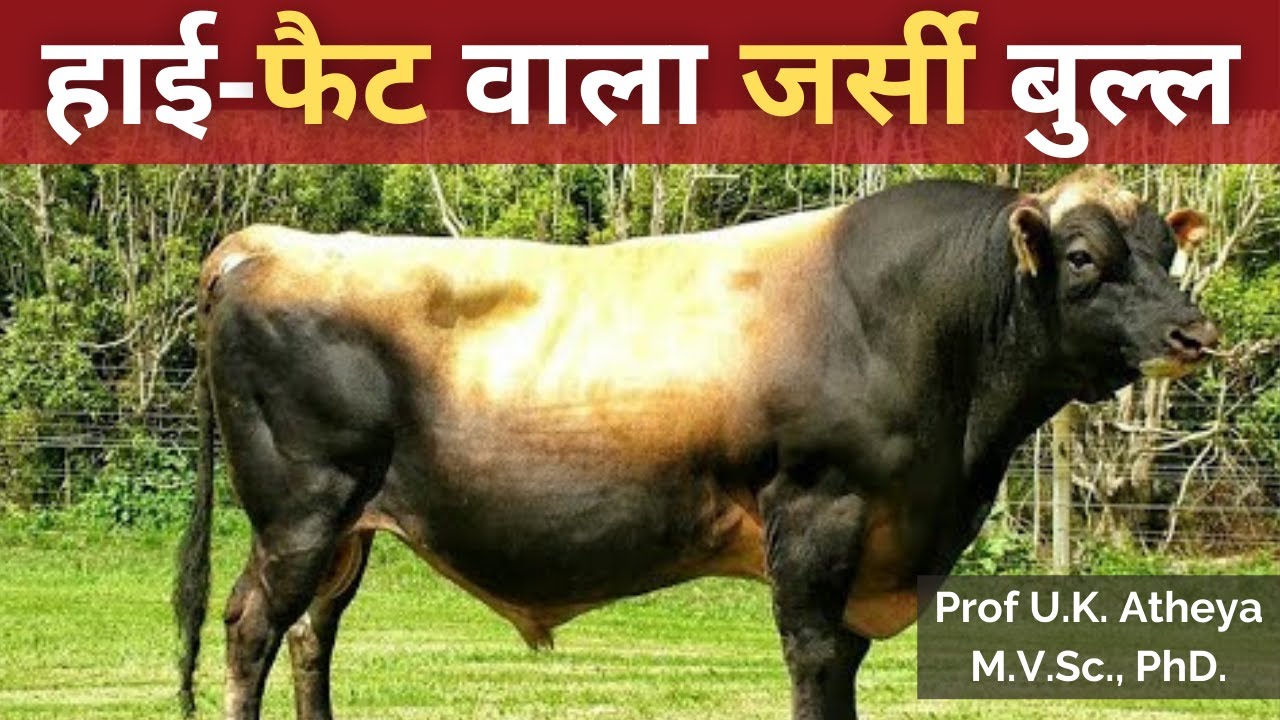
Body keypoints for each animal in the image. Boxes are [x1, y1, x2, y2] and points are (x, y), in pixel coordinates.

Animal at [174, 169, 1218, 720]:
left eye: (1168, 252)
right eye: (1082, 258)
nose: (1195, 332)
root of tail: (262, 243)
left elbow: (840, 665)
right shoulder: (818, 513)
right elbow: (814, 660)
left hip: (346, 528)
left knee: (310, 634)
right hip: (303, 506)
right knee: (252, 625)